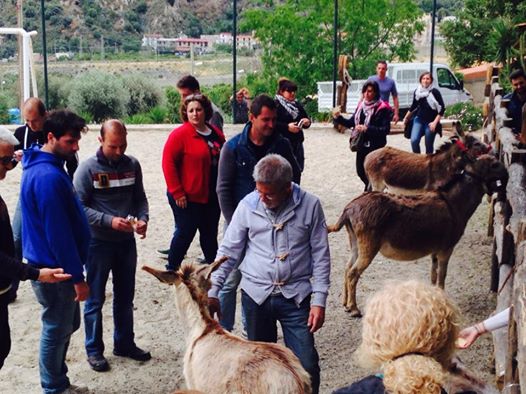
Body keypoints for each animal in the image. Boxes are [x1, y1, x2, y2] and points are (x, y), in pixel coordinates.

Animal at [330, 155, 512, 318]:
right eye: (494, 165)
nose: (507, 172)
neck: (454, 204)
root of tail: (349, 207)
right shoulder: (446, 249)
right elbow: (442, 275)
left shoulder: (435, 250)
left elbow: (433, 273)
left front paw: (433, 296)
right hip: (369, 246)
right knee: (353, 273)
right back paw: (354, 309)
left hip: (355, 242)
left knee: (347, 268)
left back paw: (345, 304)